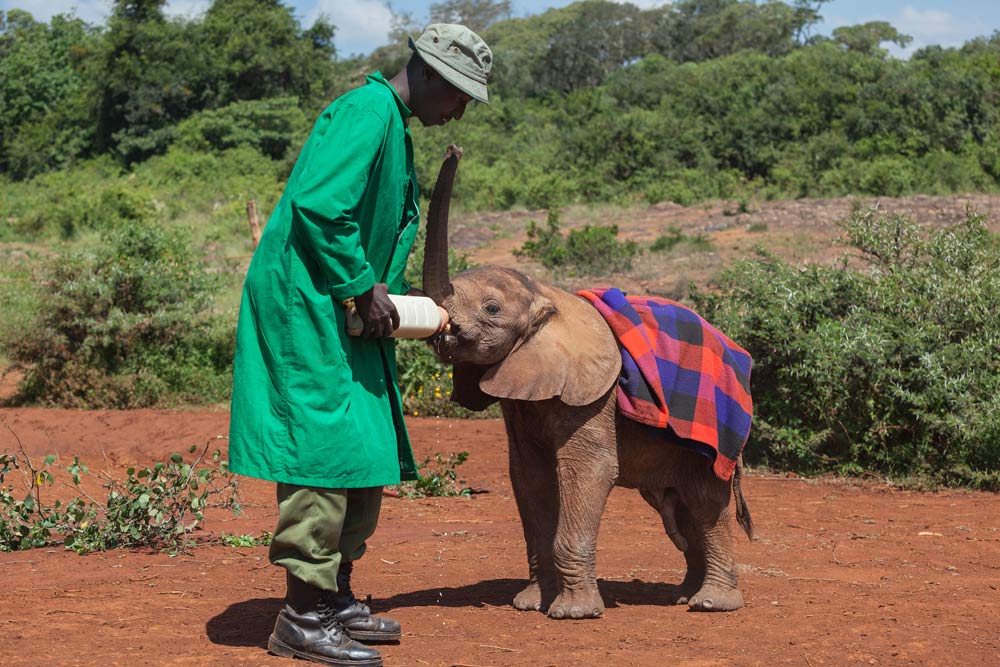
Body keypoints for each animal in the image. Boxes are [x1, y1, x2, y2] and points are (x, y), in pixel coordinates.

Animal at [418, 146, 752, 620]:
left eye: (492, 308)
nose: (454, 148)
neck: (545, 293)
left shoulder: (594, 392)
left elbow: (586, 470)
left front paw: (572, 614)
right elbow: (529, 475)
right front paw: (529, 605)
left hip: (715, 438)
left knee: (706, 503)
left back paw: (710, 604)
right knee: (680, 510)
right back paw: (682, 596)